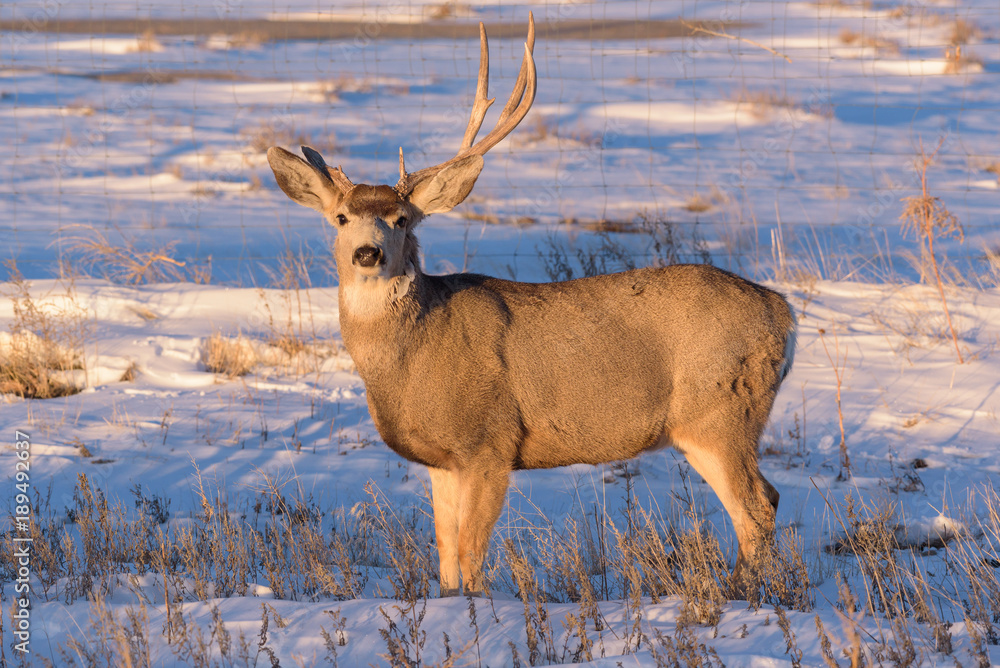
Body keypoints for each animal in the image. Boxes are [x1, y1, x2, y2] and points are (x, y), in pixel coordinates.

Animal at [267, 13, 796, 597]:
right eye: (340, 217)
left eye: (402, 219)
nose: (368, 252)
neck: (416, 356)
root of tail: (785, 314)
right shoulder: (441, 461)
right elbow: (445, 557)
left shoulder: (491, 443)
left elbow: (471, 557)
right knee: (769, 499)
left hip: (718, 412)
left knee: (756, 509)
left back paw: (742, 596)